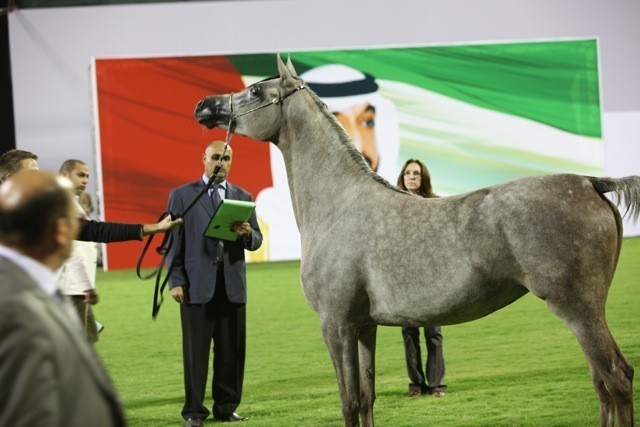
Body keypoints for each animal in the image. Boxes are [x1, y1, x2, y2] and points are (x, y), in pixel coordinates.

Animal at [193, 55, 639, 426]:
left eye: (255, 92)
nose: (204, 106)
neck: (339, 204)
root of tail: (590, 182)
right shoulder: (363, 326)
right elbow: (367, 399)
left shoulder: (335, 325)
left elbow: (348, 402)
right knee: (606, 382)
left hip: (578, 309)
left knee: (615, 379)